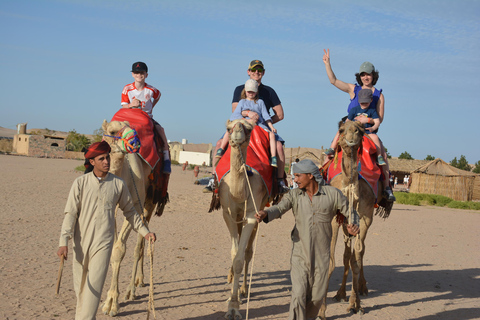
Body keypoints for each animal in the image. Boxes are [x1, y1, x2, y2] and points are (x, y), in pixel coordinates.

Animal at [99, 120, 167, 318]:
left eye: (131, 126)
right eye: (113, 131)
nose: (135, 142)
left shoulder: (134, 206)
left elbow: (120, 249)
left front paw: (112, 303)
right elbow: (112, 249)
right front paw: (108, 300)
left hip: (149, 202)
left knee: (140, 243)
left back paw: (132, 288)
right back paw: (139, 281)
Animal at [318, 120, 390, 320]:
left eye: (360, 130)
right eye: (341, 129)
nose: (352, 137)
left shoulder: (365, 217)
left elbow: (357, 258)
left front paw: (355, 305)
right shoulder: (334, 218)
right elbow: (332, 261)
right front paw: (321, 311)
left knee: (358, 252)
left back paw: (361, 289)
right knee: (346, 255)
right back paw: (340, 293)